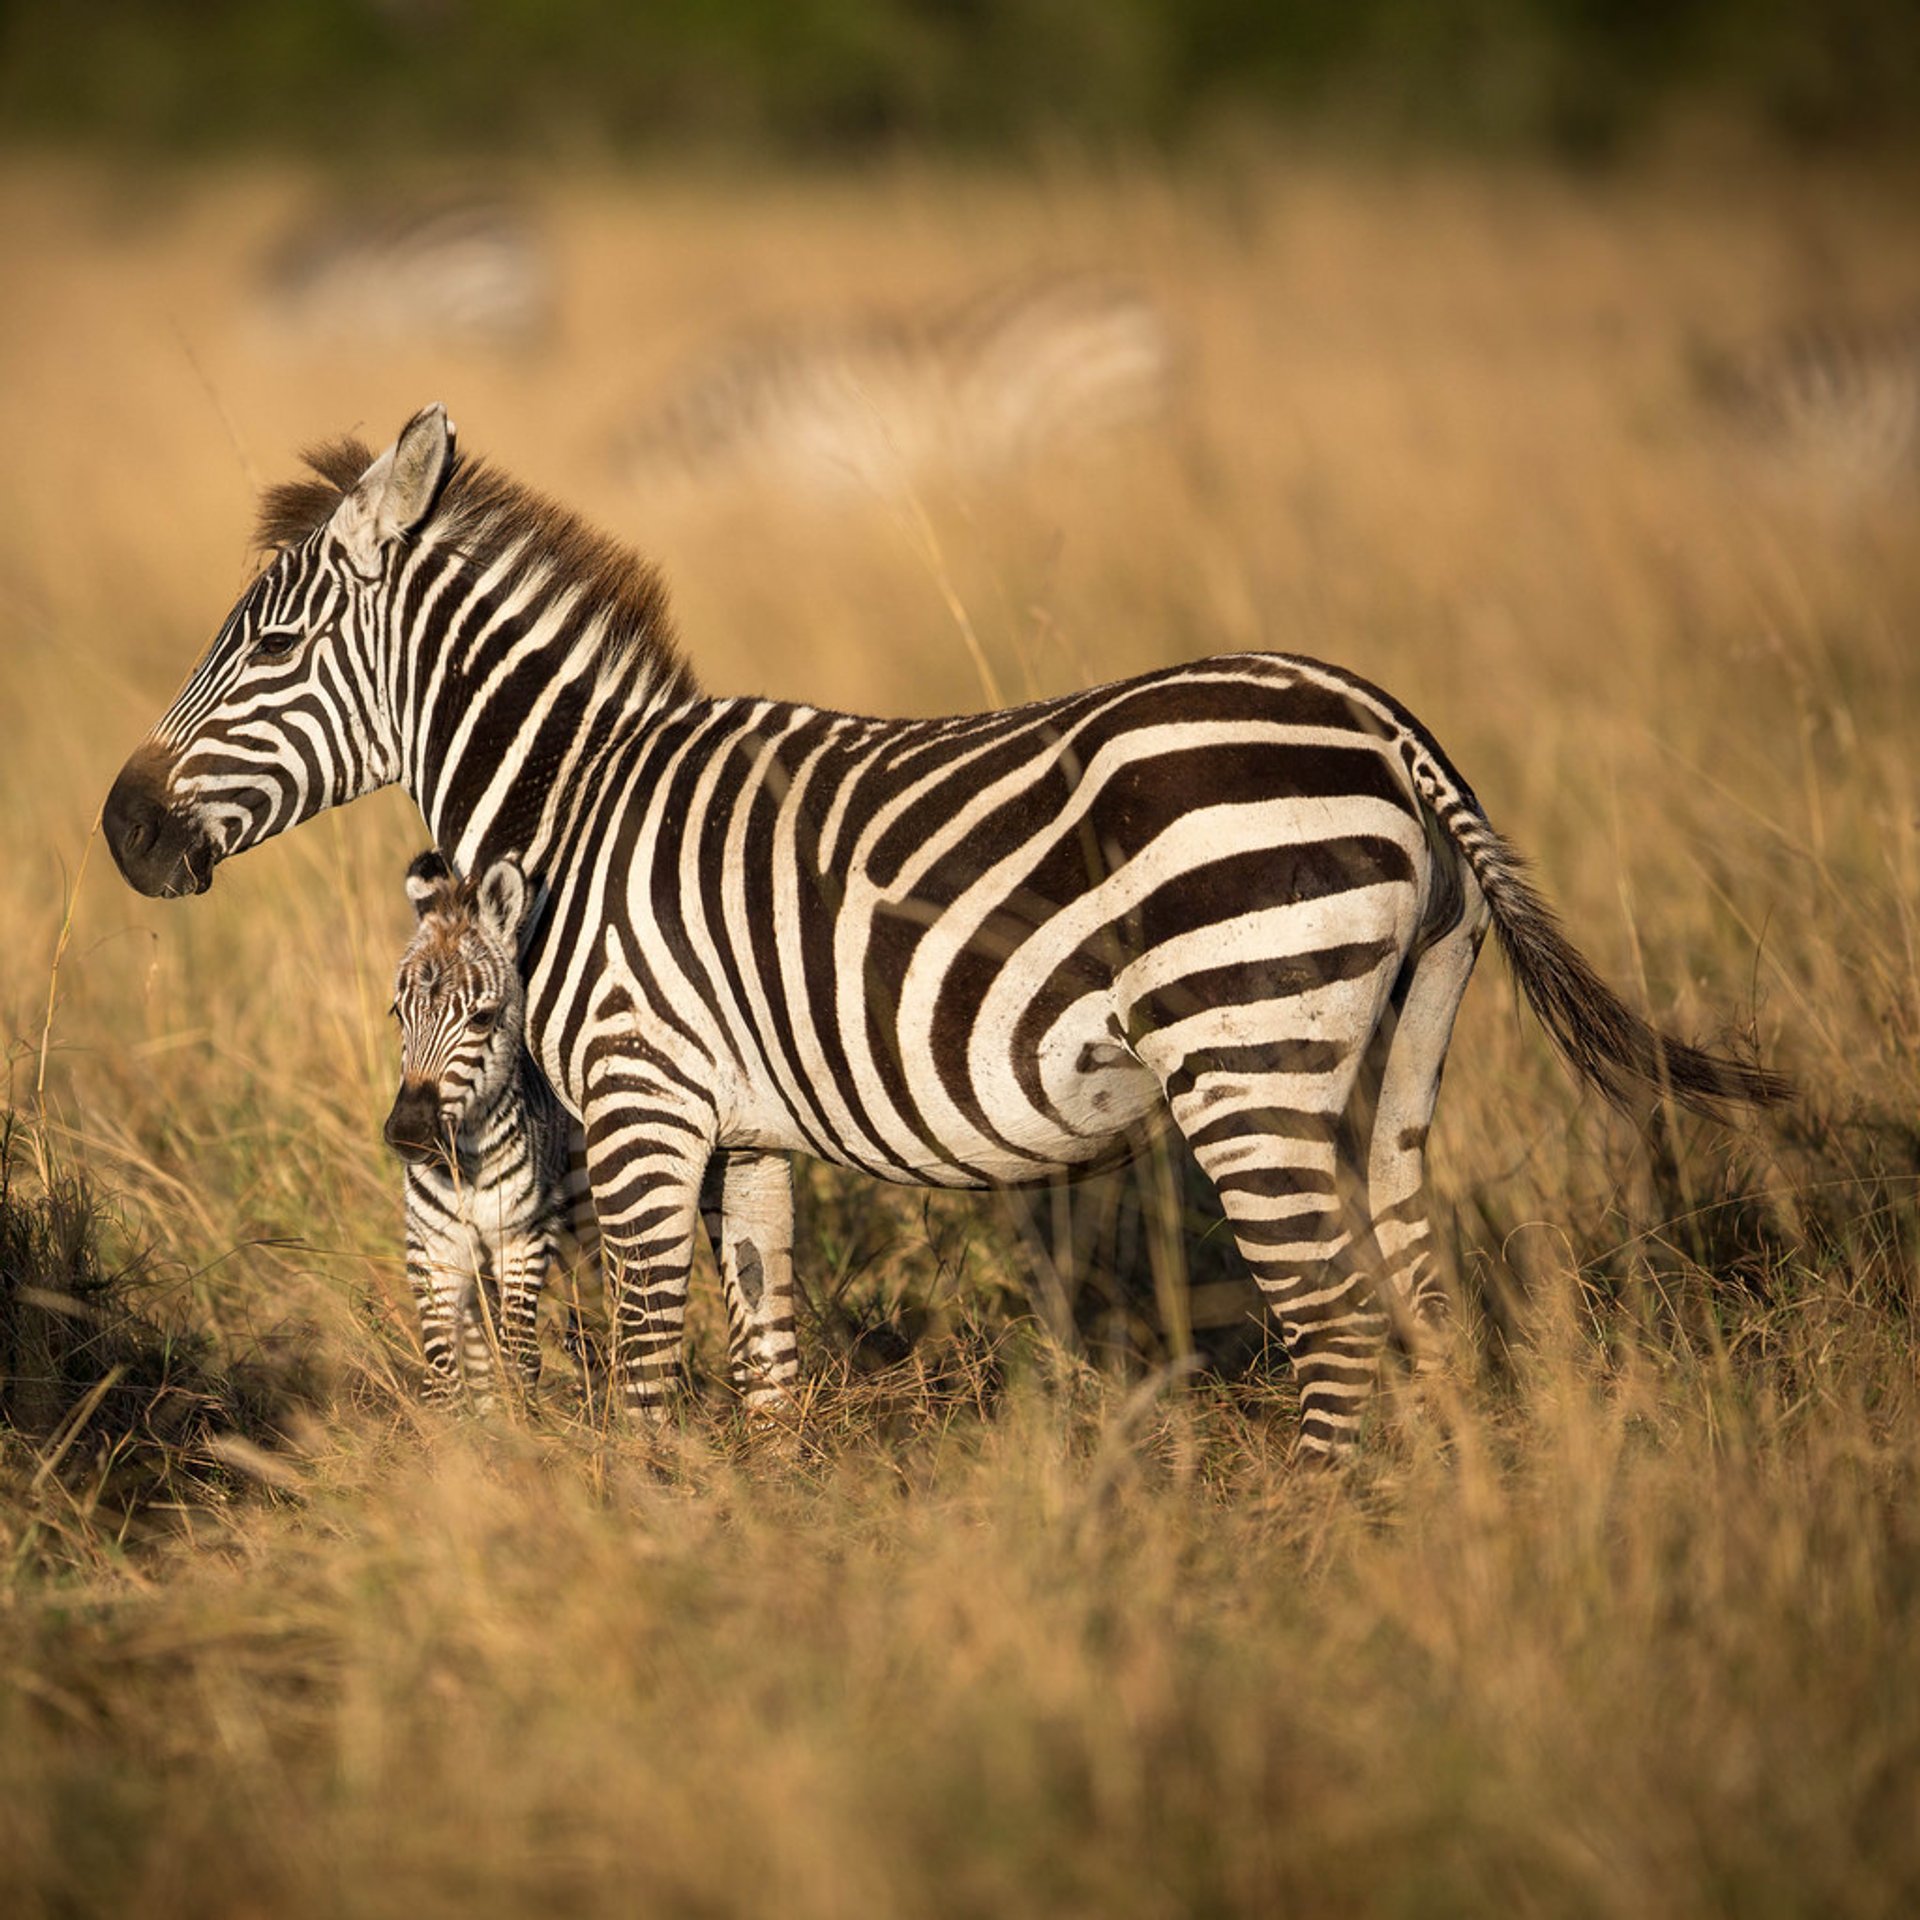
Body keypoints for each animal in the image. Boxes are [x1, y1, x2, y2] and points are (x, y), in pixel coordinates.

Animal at [101, 401, 1781, 1451]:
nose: (123, 830)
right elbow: (768, 1365)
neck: (571, 803)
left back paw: (1319, 1568)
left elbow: (643, 1371)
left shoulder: (643, 1104)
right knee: (1421, 1297)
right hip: (1399, 1048)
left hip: (1243, 1053)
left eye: (265, 646)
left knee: (1330, 1320)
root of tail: (1368, 710)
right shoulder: (747, 1129)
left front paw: (641, 1552)